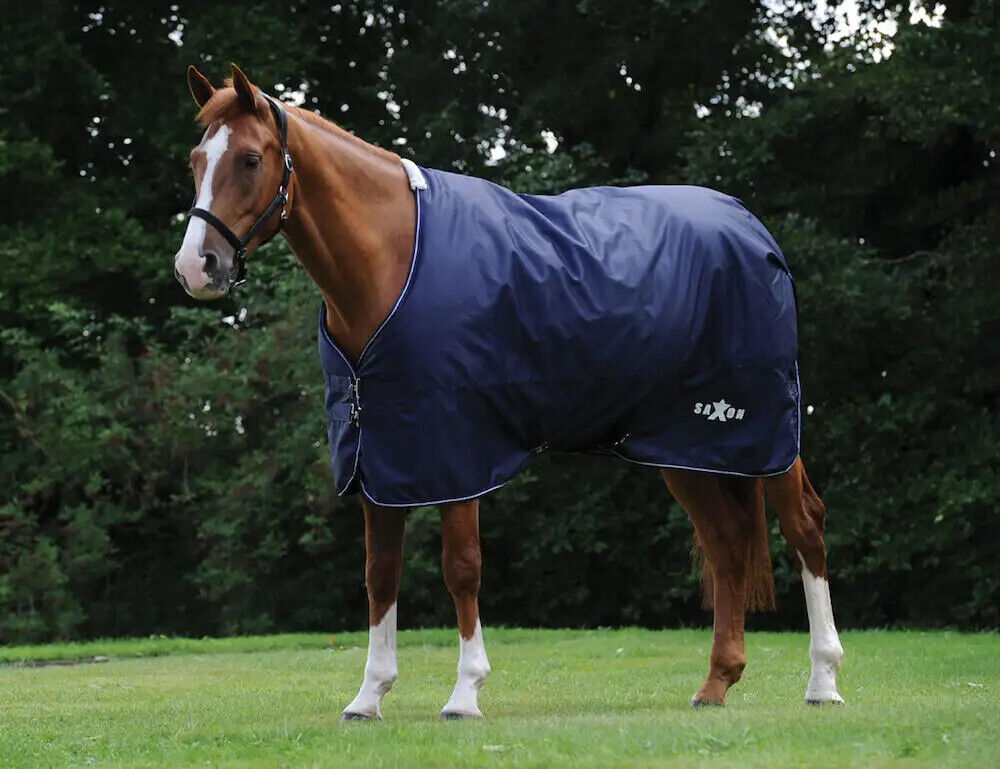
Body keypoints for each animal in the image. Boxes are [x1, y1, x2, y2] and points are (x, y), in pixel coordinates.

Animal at [175, 63, 845, 720]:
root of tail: (749, 226)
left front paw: (465, 693)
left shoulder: (458, 450)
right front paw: (368, 696)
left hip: (762, 429)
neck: (392, 261)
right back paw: (715, 684)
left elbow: (462, 568)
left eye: (250, 160)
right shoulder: (379, 454)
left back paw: (823, 681)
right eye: (196, 160)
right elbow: (380, 574)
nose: (195, 267)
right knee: (727, 543)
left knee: (803, 525)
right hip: (686, 447)